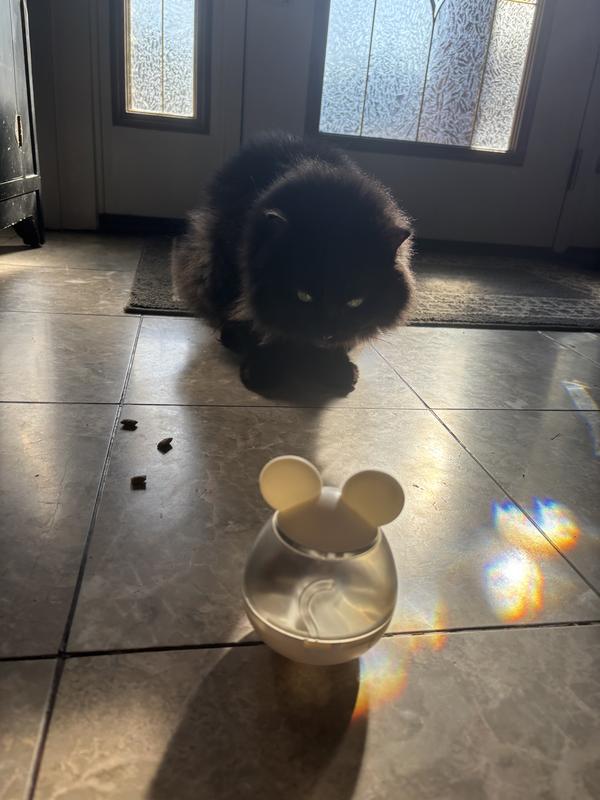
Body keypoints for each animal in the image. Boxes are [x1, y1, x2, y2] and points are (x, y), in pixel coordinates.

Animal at [171, 132, 414, 397]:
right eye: (303, 296)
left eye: (355, 302)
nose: (326, 333)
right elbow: (261, 325)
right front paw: (263, 367)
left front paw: (335, 368)